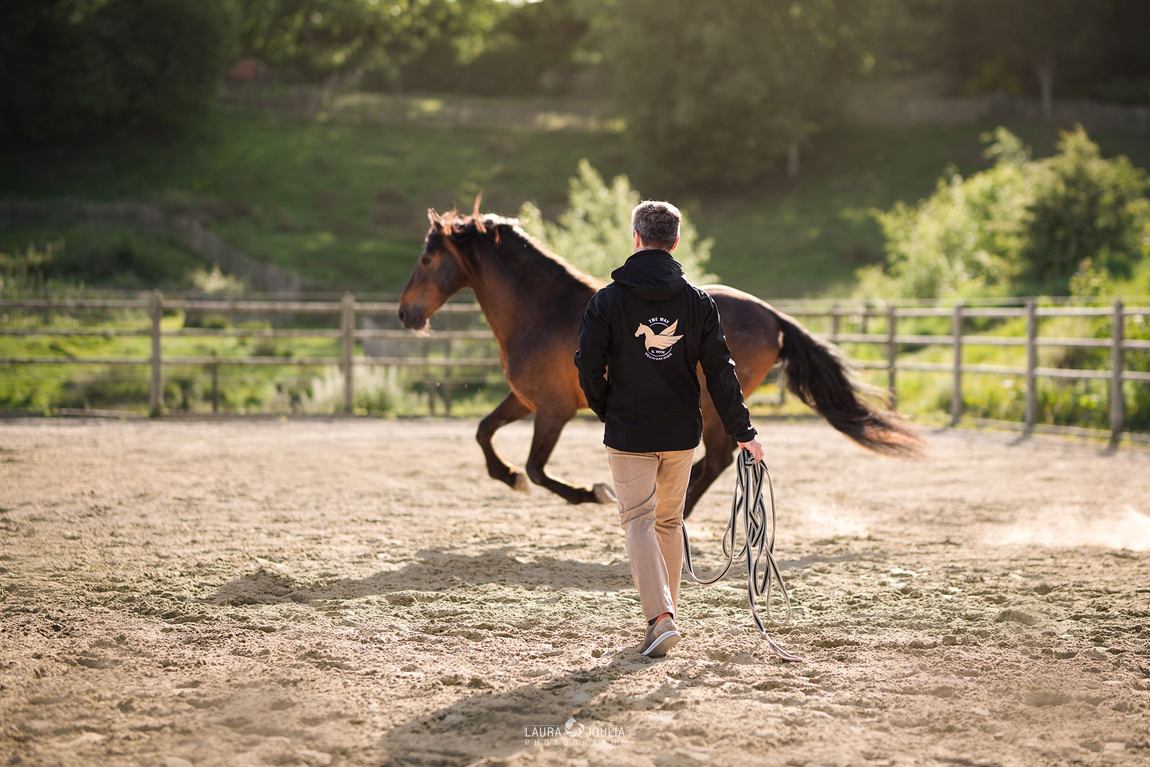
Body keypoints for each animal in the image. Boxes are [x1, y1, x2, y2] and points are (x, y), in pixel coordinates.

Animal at [398, 207, 922, 518]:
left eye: (425, 260)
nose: (405, 313)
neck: (543, 311)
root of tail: (772, 314)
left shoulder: (553, 410)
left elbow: (538, 468)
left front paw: (592, 493)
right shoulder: (525, 400)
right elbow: (484, 433)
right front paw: (507, 477)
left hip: (713, 403)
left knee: (716, 460)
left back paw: (679, 514)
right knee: (715, 461)